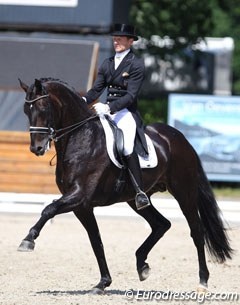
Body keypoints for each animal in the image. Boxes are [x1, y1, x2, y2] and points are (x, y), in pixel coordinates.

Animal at [18, 77, 232, 294]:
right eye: (26, 110)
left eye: (43, 107)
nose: (37, 148)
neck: (81, 138)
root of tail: (180, 138)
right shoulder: (82, 207)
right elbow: (96, 241)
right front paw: (103, 283)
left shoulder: (79, 196)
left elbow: (49, 209)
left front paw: (28, 240)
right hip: (136, 199)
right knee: (161, 224)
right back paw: (142, 265)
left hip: (184, 192)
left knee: (196, 231)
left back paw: (202, 281)